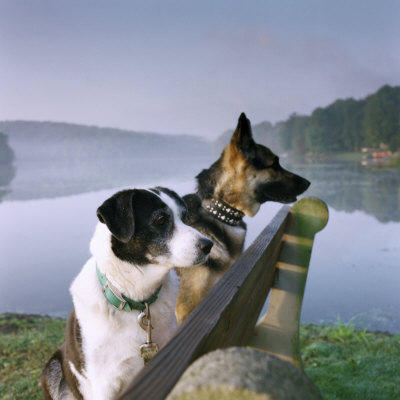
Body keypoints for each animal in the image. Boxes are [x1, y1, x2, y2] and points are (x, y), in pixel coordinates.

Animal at [41, 188, 212, 400]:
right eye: (160, 220)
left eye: (185, 217)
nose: (208, 245)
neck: (136, 300)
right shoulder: (105, 384)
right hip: (52, 369)